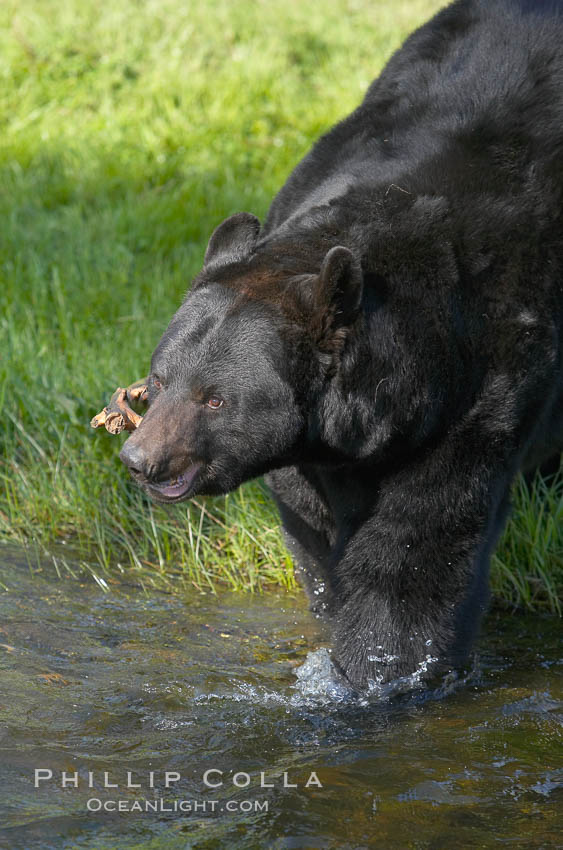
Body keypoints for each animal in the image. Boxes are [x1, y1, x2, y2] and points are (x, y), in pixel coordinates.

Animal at [119, 0, 563, 690]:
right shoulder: (310, 452)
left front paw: (378, 673)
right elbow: (317, 528)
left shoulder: (490, 380)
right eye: (159, 381)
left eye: (216, 399)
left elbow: (423, 540)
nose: (141, 460)